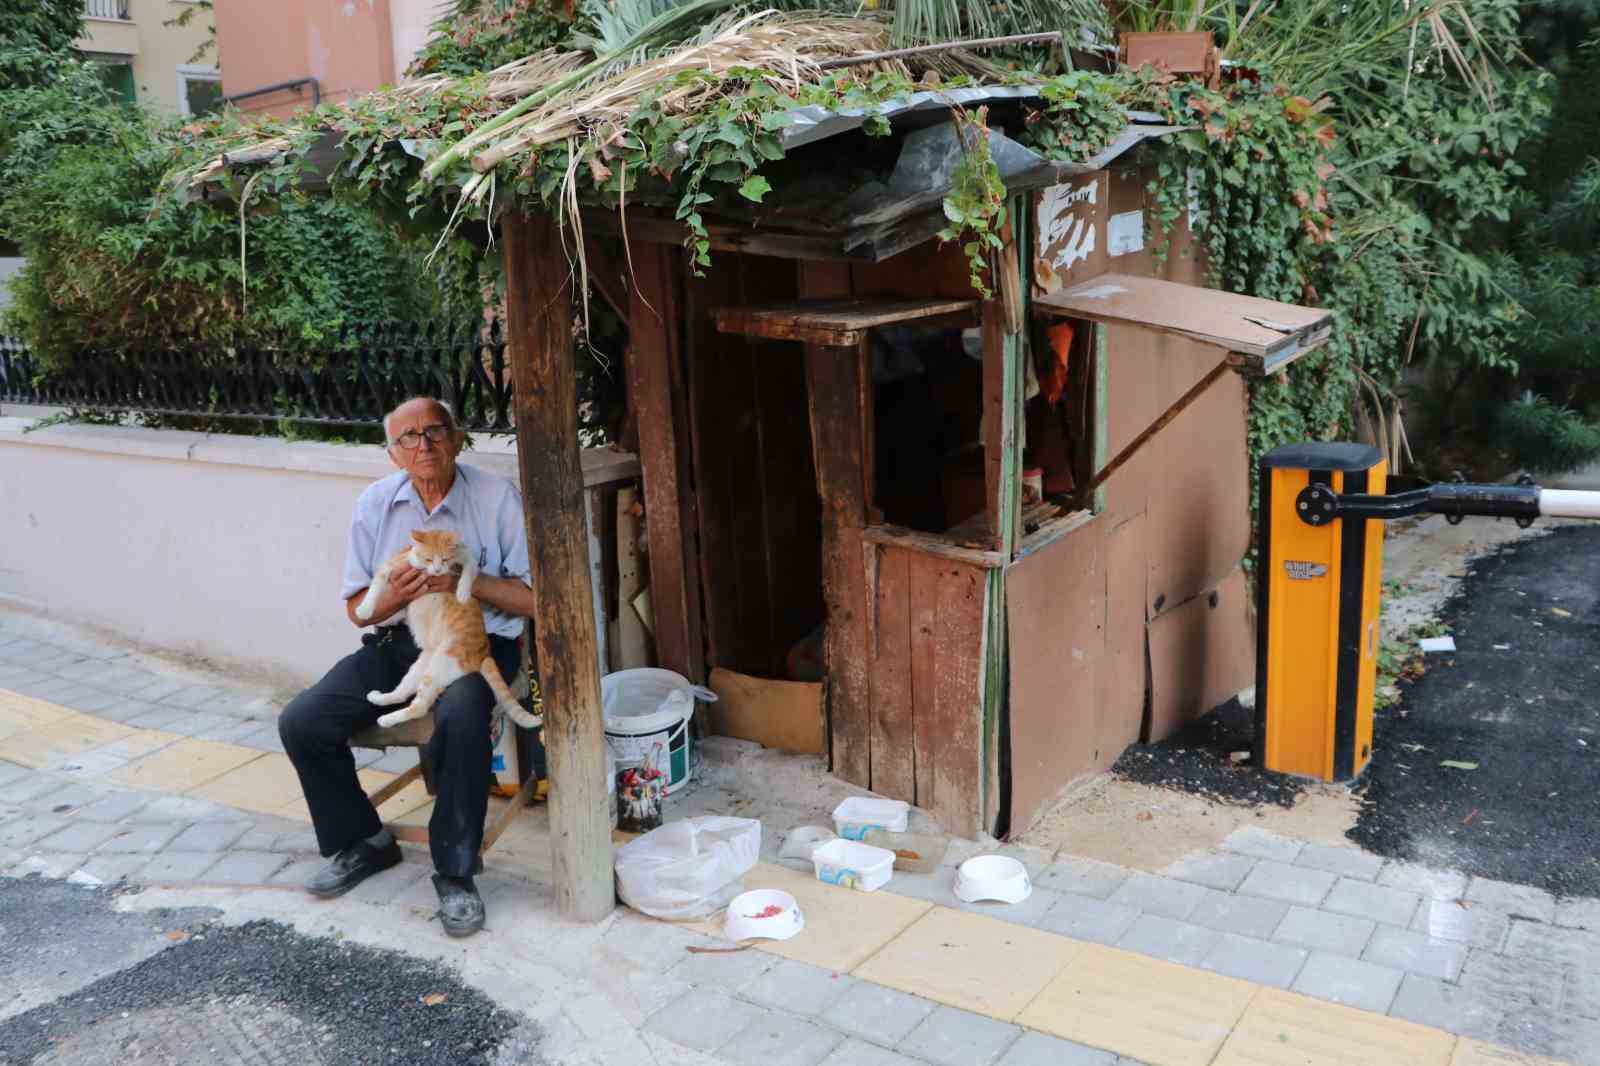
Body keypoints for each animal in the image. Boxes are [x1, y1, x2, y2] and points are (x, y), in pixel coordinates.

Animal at [356, 524, 544, 726]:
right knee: (401, 693)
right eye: (429, 559)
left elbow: (468, 571)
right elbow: (375, 587)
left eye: (444, 559)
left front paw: (462, 593)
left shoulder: (465, 554)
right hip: (420, 666)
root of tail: (485, 653)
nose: (438, 570)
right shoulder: (393, 566)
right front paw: (365, 610)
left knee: (419, 707)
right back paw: (378, 698)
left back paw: (386, 719)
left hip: (440, 665)